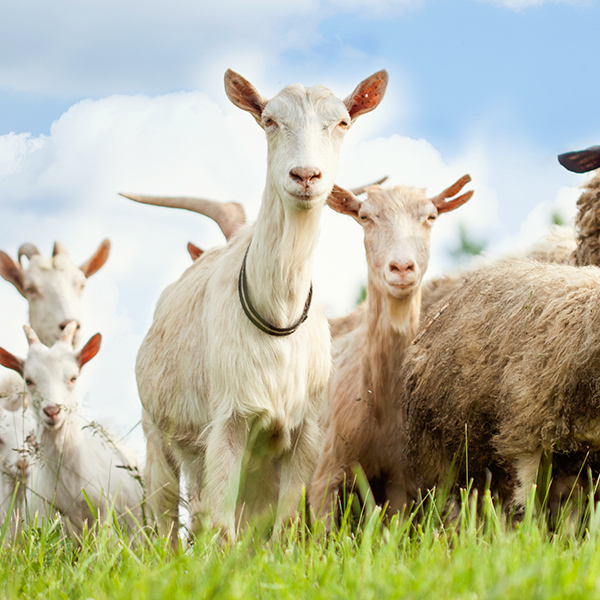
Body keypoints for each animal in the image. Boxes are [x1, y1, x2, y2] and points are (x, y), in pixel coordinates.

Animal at [135, 68, 390, 540]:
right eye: (270, 120)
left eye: (342, 122)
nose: (306, 175)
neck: (279, 315)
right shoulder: (228, 424)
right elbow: (221, 527)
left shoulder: (305, 433)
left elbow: (285, 523)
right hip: (159, 436)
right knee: (167, 517)